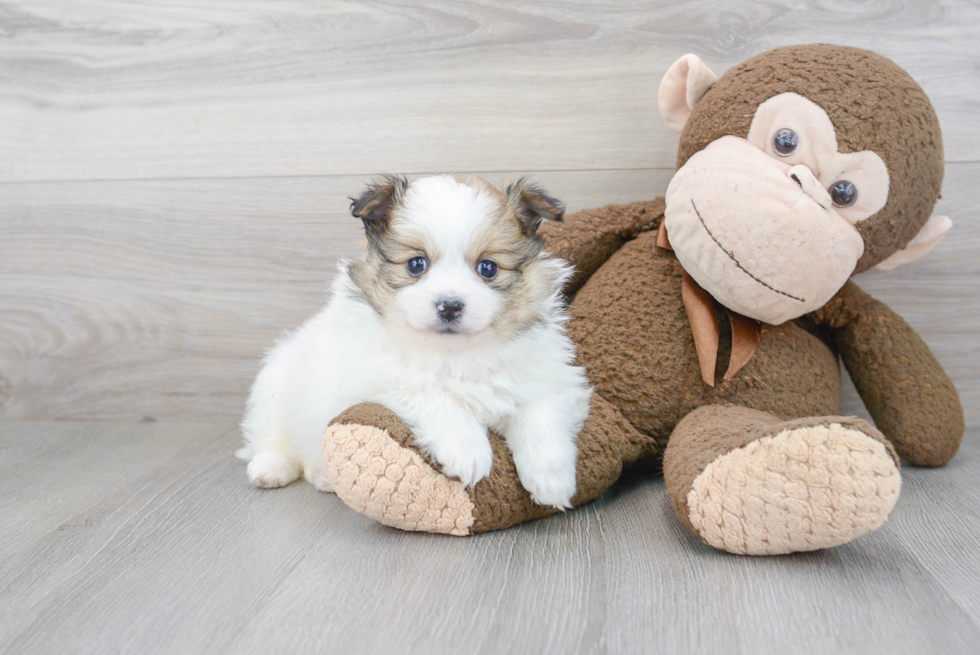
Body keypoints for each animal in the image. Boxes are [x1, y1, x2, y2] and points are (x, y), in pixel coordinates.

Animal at [235, 173, 588, 508]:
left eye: (488, 268)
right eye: (417, 264)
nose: (450, 305)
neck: (453, 354)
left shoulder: (546, 378)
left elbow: (540, 414)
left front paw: (552, 480)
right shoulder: (379, 378)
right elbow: (435, 395)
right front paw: (468, 451)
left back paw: (322, 476)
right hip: (274, 388)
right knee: (273, 438)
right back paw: (271, 468)